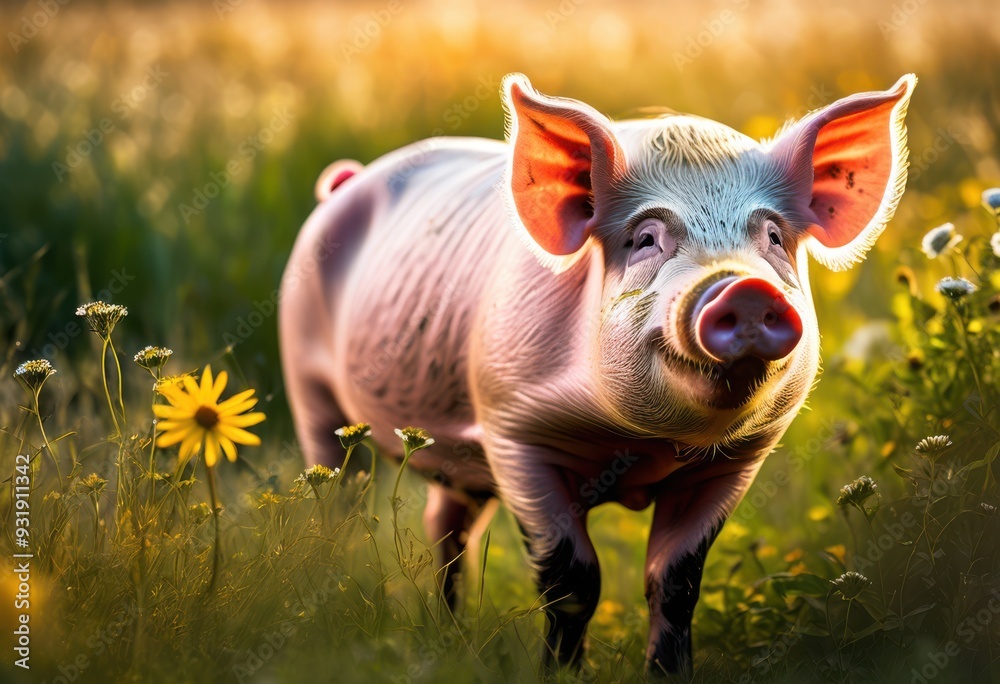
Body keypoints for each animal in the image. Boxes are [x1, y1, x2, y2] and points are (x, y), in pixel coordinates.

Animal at [279, 73, 915, 677]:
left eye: (774, 237)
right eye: (646, 239)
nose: (746, 288)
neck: (640, 445)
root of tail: (345, 183)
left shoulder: (737, 459)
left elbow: (676, 581)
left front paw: (668, 673)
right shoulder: (515, 431)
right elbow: (571, 581)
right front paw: (559, 673)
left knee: (447, 525)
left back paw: (451, 638)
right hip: (307, 377)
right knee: (340, 496)